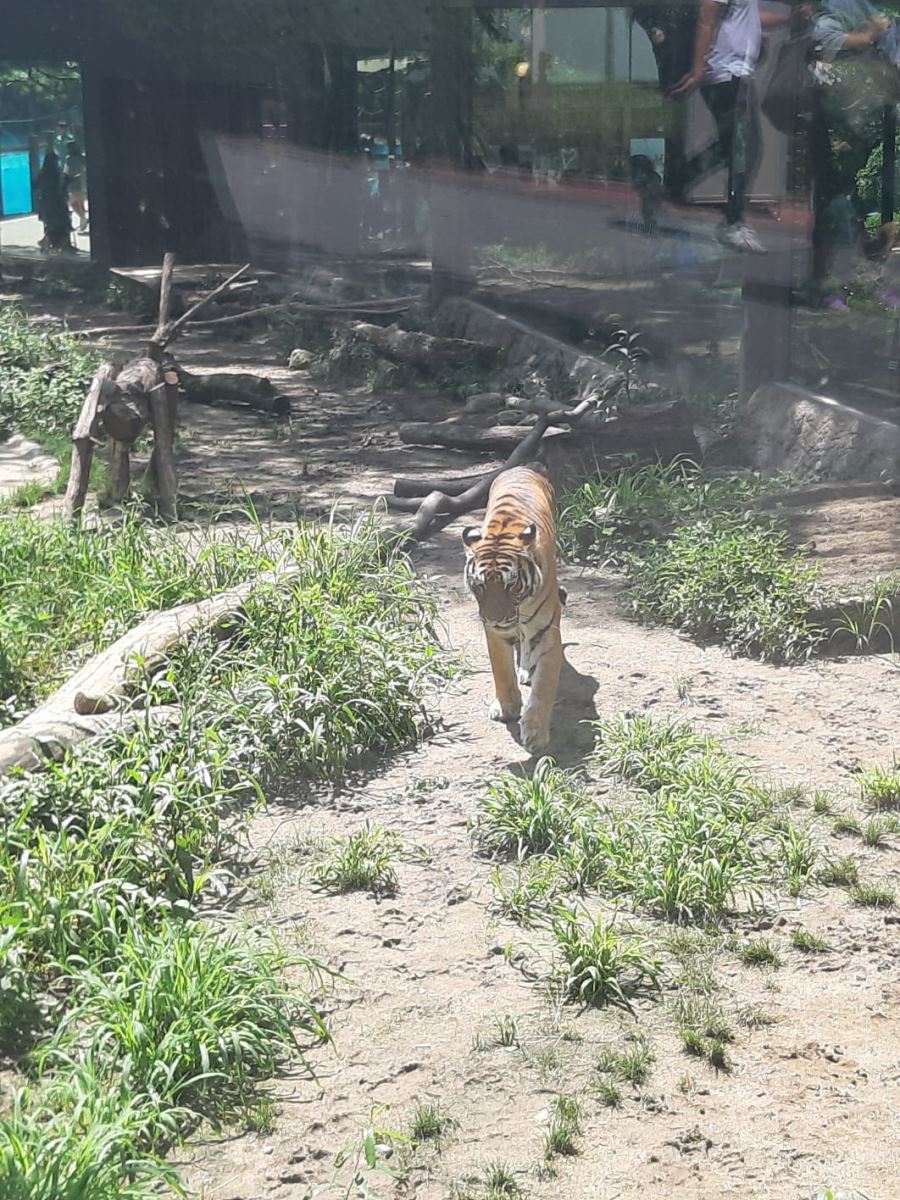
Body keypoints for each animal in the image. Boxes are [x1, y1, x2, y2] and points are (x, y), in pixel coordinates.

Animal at [465, 465, 564, 753]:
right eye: (480, 586)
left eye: (511, 585)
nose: (495, 618)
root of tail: (524, 466)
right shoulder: (494, 633)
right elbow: (501, 669)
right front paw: (507, 706)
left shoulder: (547, 632)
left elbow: (544, 686)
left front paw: (535, 733)